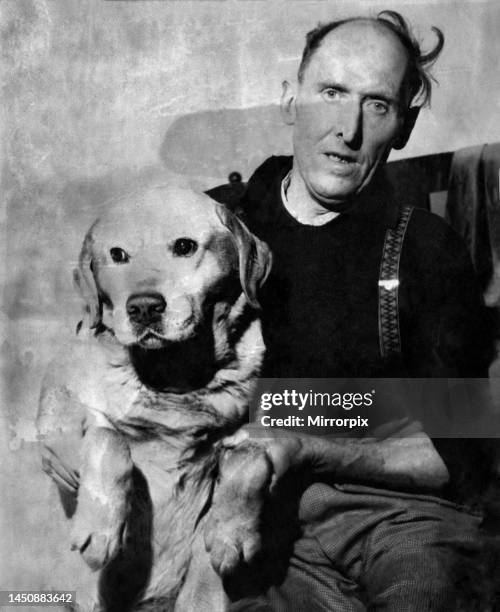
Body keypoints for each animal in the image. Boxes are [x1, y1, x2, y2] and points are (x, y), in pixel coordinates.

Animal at [37, 185, 276, 612]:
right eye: (117, 255)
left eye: (184, 246)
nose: (144, 307)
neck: (174, 376)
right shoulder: (66, 414)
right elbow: (109, 440)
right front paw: (99, 529)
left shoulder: (252, 424)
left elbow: (252, 458)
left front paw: (232, 534)